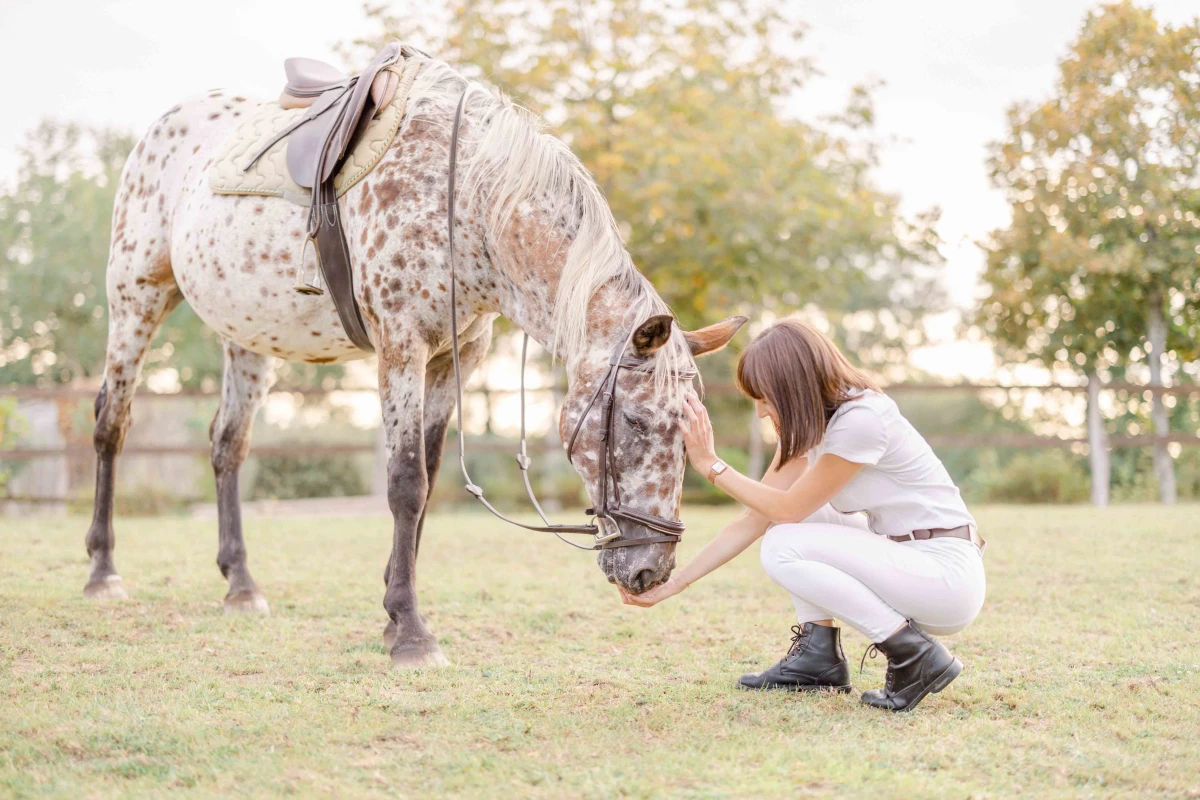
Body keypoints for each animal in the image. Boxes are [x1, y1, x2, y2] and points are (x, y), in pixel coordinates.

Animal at [85, 54, 746, 668]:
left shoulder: (457, 357)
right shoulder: (401, 345)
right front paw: (409, 631)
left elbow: (425, 479)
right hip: (134, 299)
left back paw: (241, 584)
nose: (652, 571)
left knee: (228, 445)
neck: (465, 197)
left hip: (245, 336)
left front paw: (390, 611)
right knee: (112, 425)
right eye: (635, 421)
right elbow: (406, 481)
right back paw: (103, 571)